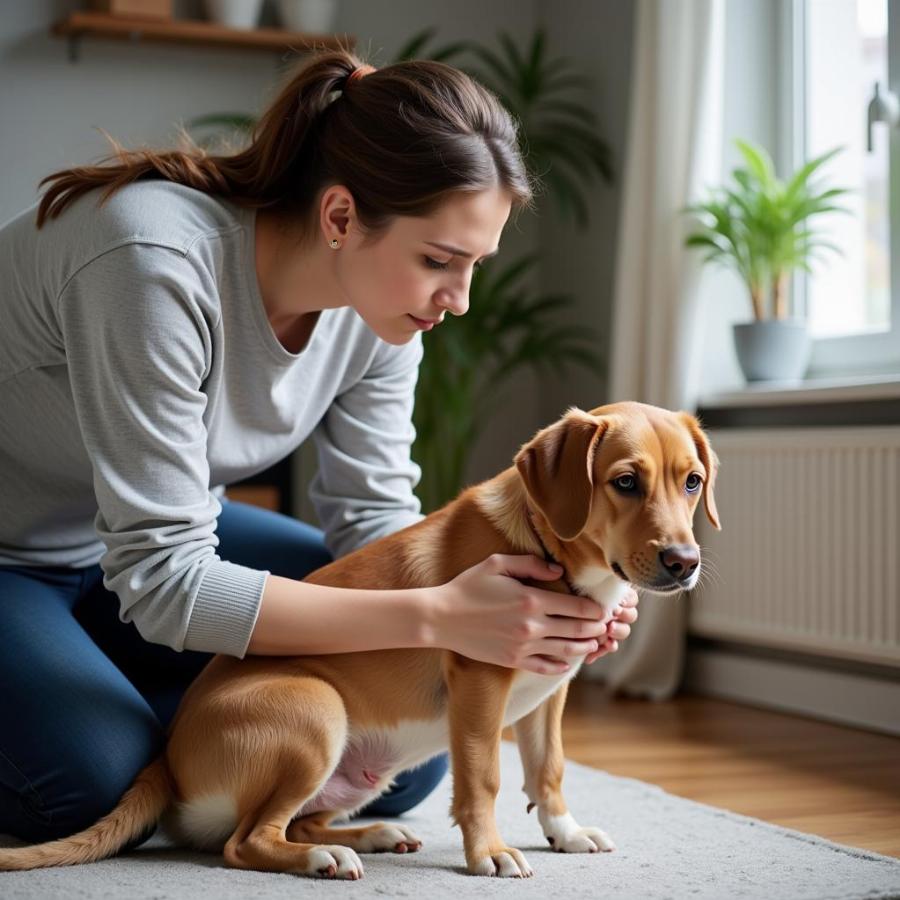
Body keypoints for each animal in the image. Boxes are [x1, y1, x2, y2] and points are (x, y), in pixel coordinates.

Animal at [0, 402, 716, 880]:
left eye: (692, 482)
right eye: (624, 482)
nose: (685, 563)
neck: (563, 561)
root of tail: (167, 759)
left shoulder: (550, 694)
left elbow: (550, 769)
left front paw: (563, 833)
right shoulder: (481, 687)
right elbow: (484, 778)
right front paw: (489, 852)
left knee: (289, 821)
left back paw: (371, 836)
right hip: (317, 710)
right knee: (244, 842)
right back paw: (324, 856)